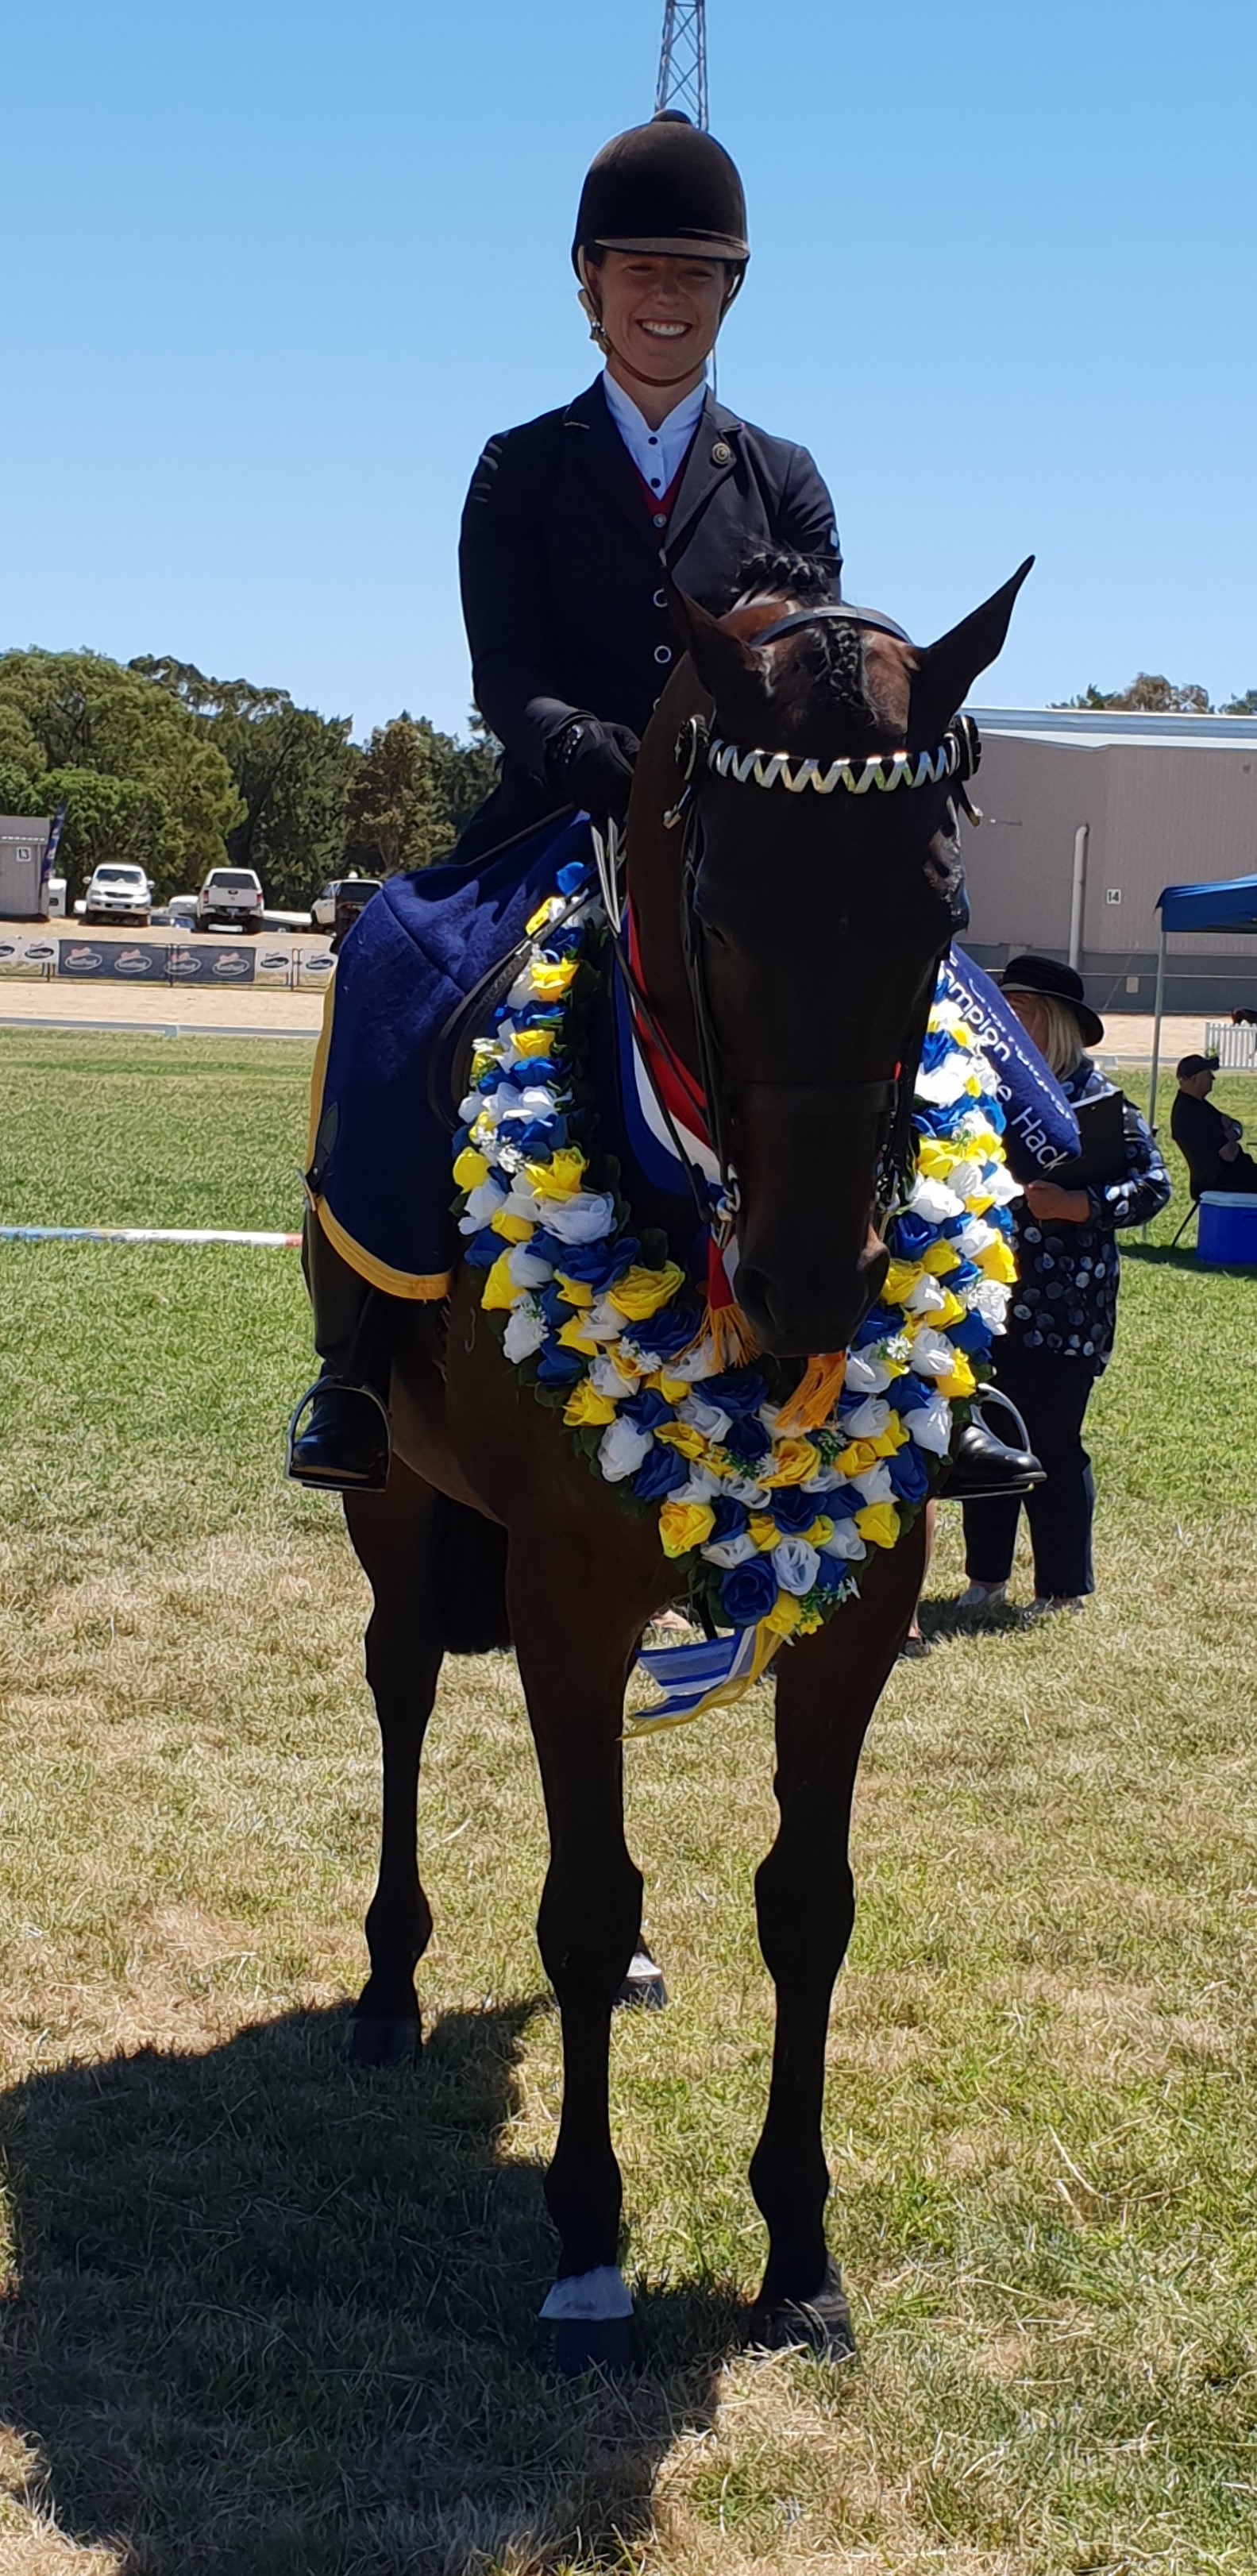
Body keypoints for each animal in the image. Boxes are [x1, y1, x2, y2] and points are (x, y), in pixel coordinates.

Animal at [334, 558, 1030, 2369]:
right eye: (715, 911)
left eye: (937, 915)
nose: (814, 1288)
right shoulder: (563, 1596)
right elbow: (572, 1903)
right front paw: (587, 2247)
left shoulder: (865, 1603)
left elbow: (807, 1902)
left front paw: (798, 2248)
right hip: (393, 1506)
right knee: (399, 1685)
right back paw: (383, 1987)